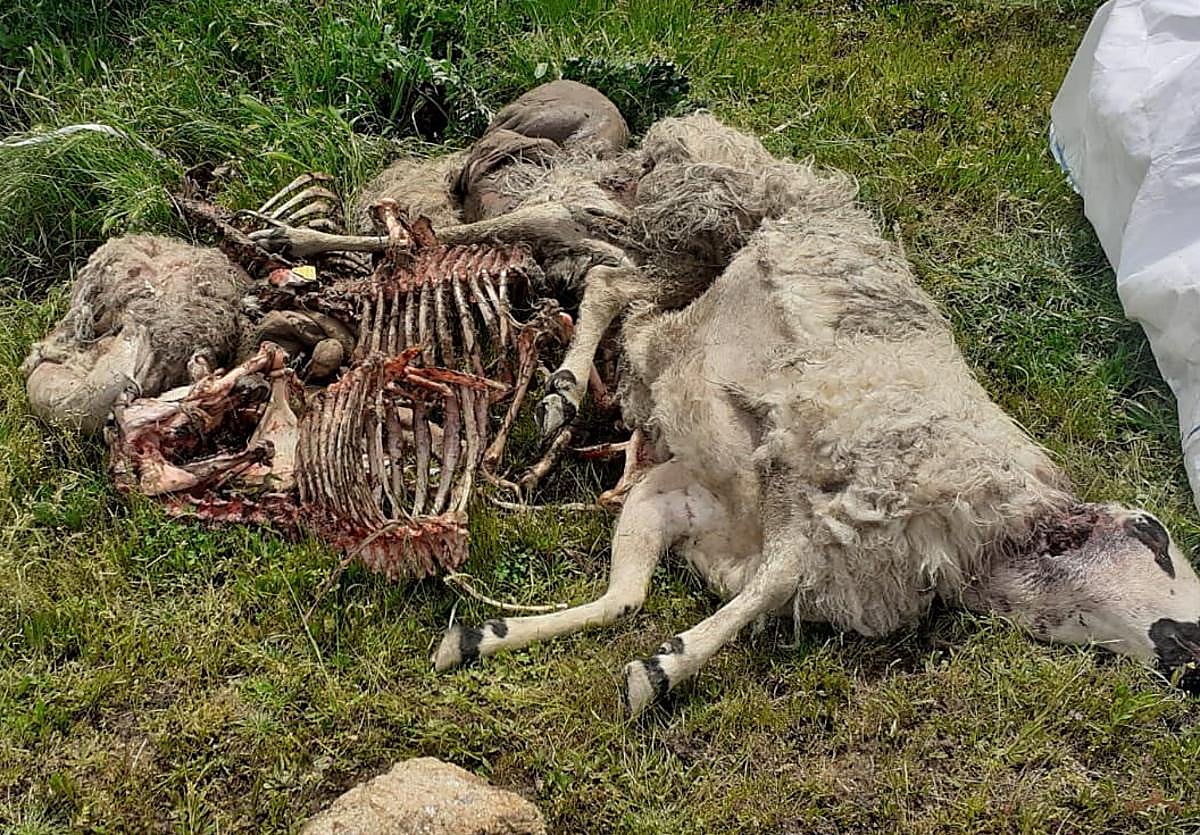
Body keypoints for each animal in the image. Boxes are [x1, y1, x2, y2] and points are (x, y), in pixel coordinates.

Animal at [433, 113, 1200, 715]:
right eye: (1153, 533)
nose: (1191, 654)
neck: (983, 546)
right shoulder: (831, 486)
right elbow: (770, 581)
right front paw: (661, 668)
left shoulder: (700, 504)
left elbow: (633, 593)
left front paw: (480, 637)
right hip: (693, 213)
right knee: (584, 248)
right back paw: (458, 274)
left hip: (663, 242)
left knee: (604, 273)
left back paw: (552, 376)